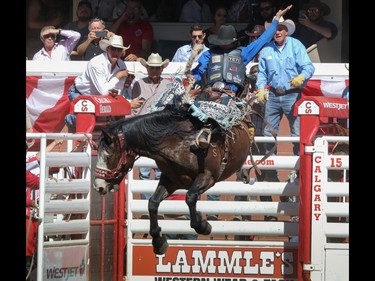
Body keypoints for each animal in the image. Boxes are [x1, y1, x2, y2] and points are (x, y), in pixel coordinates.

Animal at [93, 102, 258, 254]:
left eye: (108, 155)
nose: (98, 185)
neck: (179, 142)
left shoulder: (208, 177)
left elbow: (190, 197)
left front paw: (203, 225)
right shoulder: (170, 180)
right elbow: (153, 203)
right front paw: (158, 241)